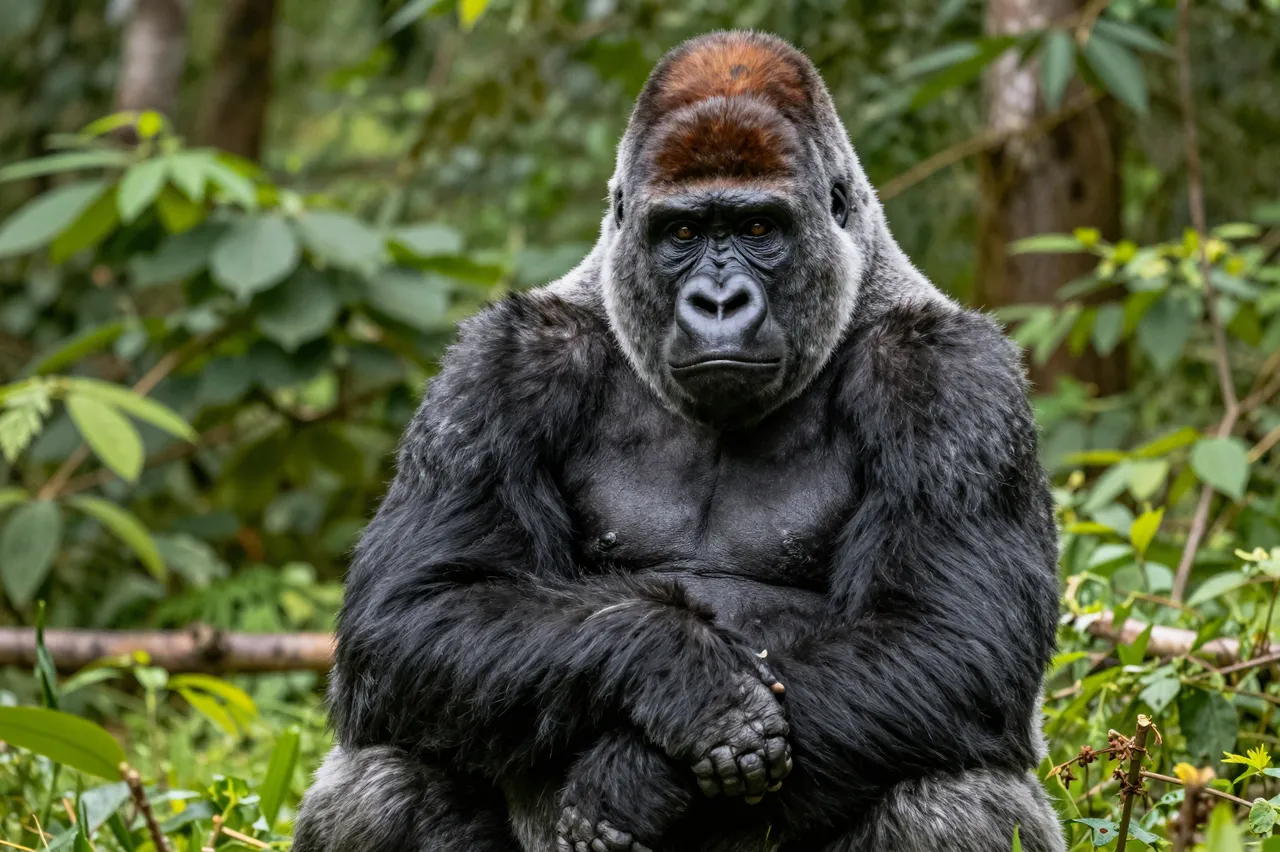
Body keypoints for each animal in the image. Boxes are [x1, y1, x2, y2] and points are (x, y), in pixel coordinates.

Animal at [293, 30, 1066, 852]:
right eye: (683, 232)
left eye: (758, 229)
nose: (718, 302)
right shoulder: (498, 368)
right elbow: (413, 613)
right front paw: (685, 676)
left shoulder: (951, 378)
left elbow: (947, 640)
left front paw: (634, 780)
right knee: (379, 781)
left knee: (954, 798)